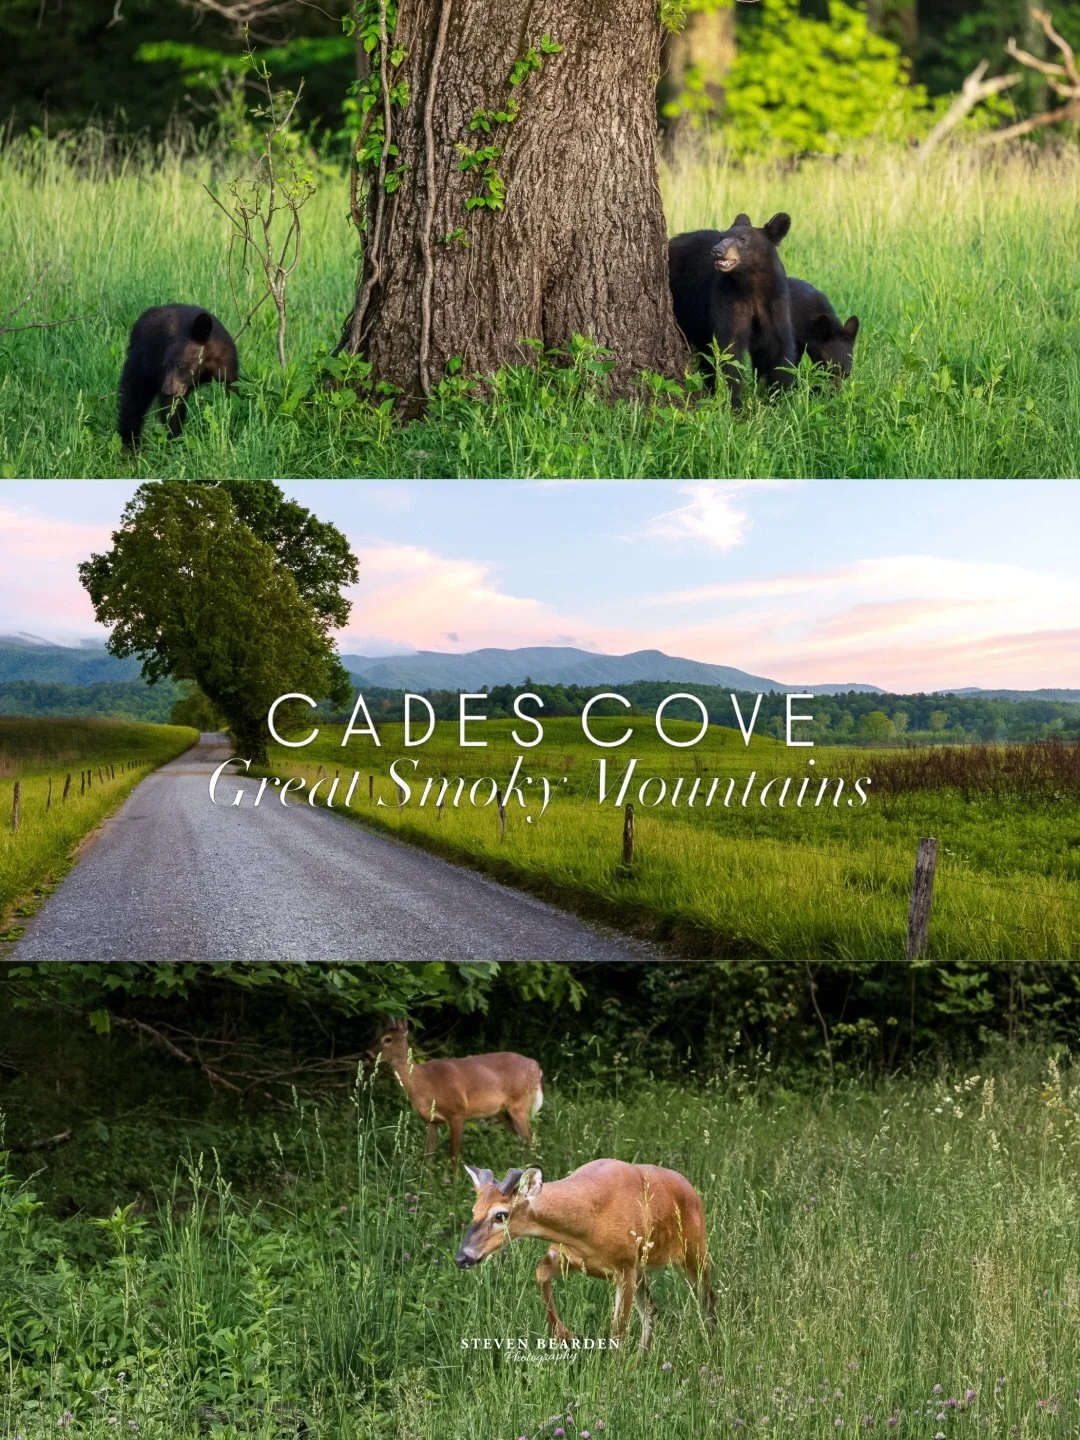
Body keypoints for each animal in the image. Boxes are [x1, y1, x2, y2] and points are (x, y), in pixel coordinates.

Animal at [118, 305, 238, 449]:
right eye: (164, 365)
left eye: (180, 364)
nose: (166, 390)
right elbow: (171, 411)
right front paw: (174, 442)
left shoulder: (226, 367)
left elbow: (232, 396)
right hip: (141, 363)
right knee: (132, 398)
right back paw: (130, 444)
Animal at [668, 213, 796, 408]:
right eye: (722, 237)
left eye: (742, 240)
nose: (717, 250)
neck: (750, 285)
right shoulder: (728, 297)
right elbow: (730, 347)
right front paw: (735, 402)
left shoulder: (775, 300)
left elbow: (778, 346)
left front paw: (779, 397)